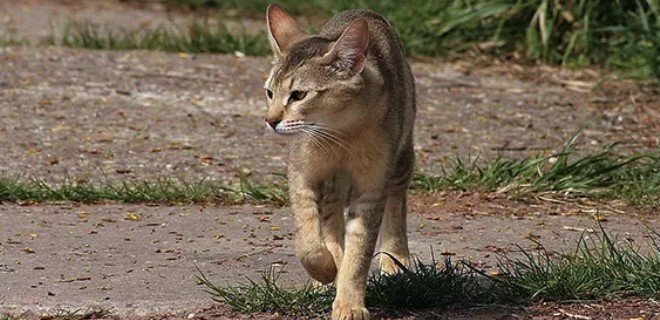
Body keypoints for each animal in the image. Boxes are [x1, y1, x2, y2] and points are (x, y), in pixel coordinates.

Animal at [264, 4, 416, 318]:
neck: (340, 133)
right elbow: (308, 240)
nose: (271, 121)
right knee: (331, 212)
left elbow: (359, 254)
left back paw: (395, 259)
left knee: (397, 202)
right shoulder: (301, 174)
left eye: (299, 95)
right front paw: (324, 269)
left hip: (402, 156)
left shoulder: (372, 188)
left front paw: (349, 304)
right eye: (269, 92)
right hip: (334, 180)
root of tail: (364, 11)